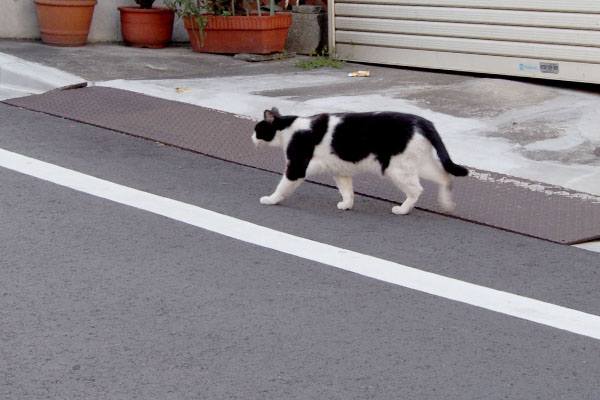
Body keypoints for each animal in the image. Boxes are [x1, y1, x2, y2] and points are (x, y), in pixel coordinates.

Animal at [251, 105, 466, 212]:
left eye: (257, 129)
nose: (251, 138)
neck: (288, 129)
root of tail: (423, 121)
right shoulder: (340, 171)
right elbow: (347, 191)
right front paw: (346, 205)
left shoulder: (296, 167)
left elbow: (282, 188)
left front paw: (270, 200)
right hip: (420, 163)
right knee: (445, 176)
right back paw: (447, 204)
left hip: (397, 168)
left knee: (417, 190)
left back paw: (402, 209)